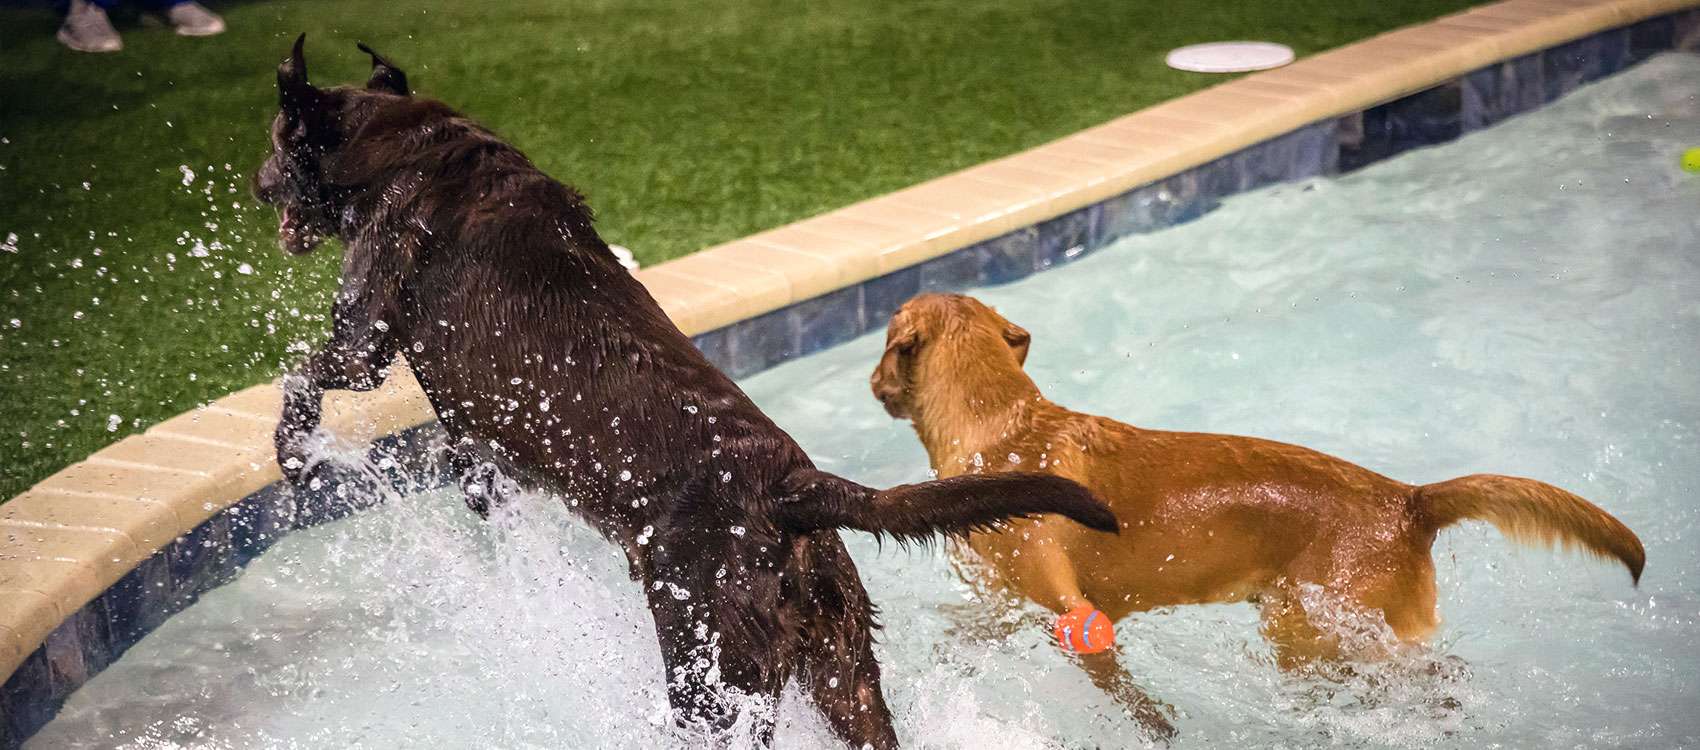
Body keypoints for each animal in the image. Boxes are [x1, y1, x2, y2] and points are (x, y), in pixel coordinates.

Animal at [870, 294, 1638, 731]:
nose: (873, 382)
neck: (1004, 426)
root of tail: (1410, 500)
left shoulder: (1074, 615)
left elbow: (1131, 698)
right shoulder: (999, 606)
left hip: (1315, 635)